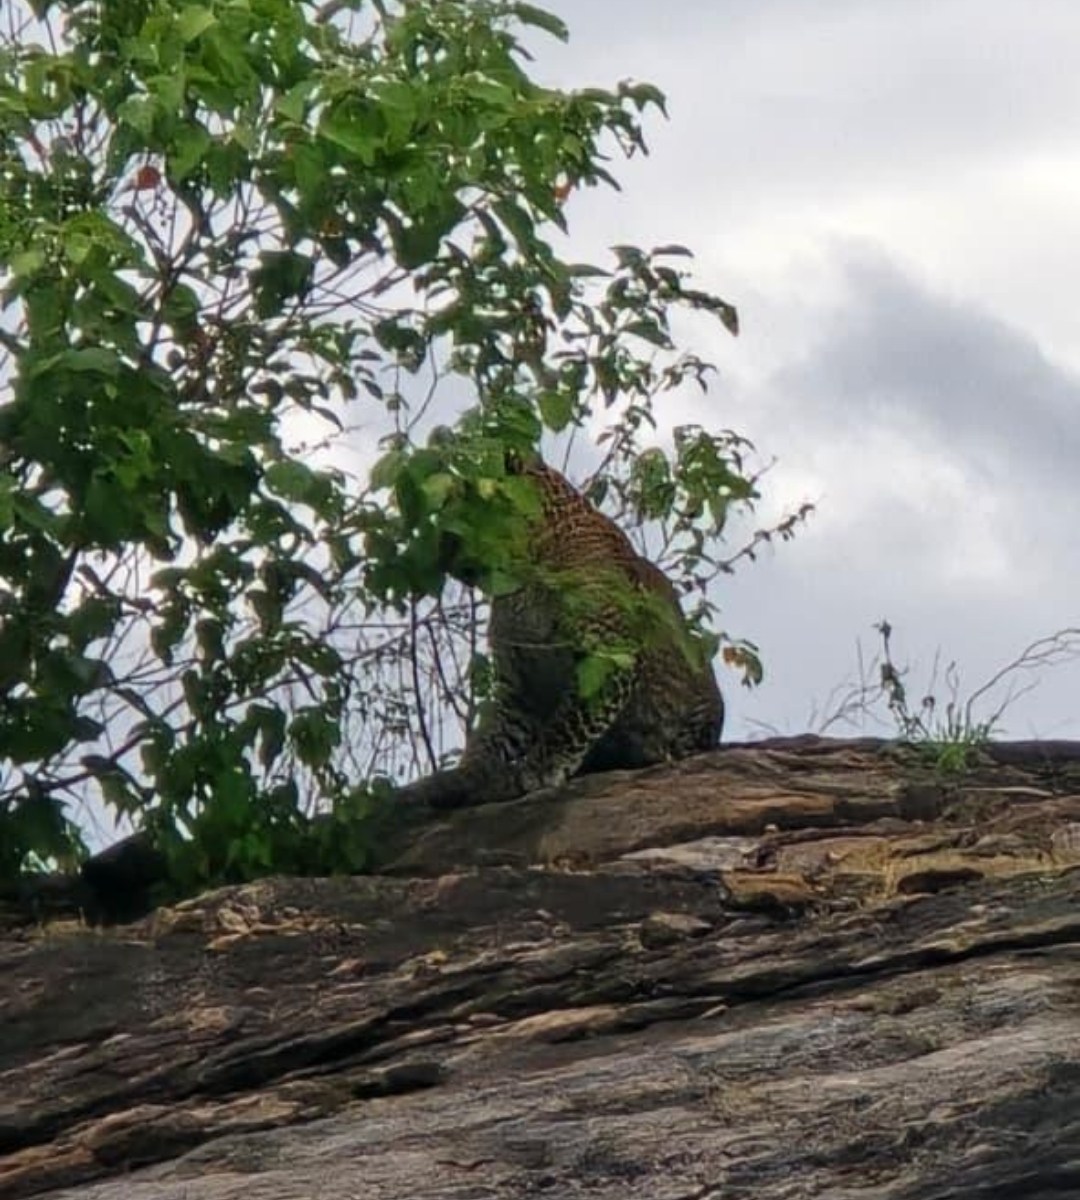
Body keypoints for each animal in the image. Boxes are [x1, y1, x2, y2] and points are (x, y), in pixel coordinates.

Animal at [400, 454, 724, 809]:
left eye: (456, 511)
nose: (440, 554)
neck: (524, 576)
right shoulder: (516, 682)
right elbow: (491, 735)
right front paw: (461, 777)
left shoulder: (608, 651)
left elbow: (570, 721)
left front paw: (537, 771)